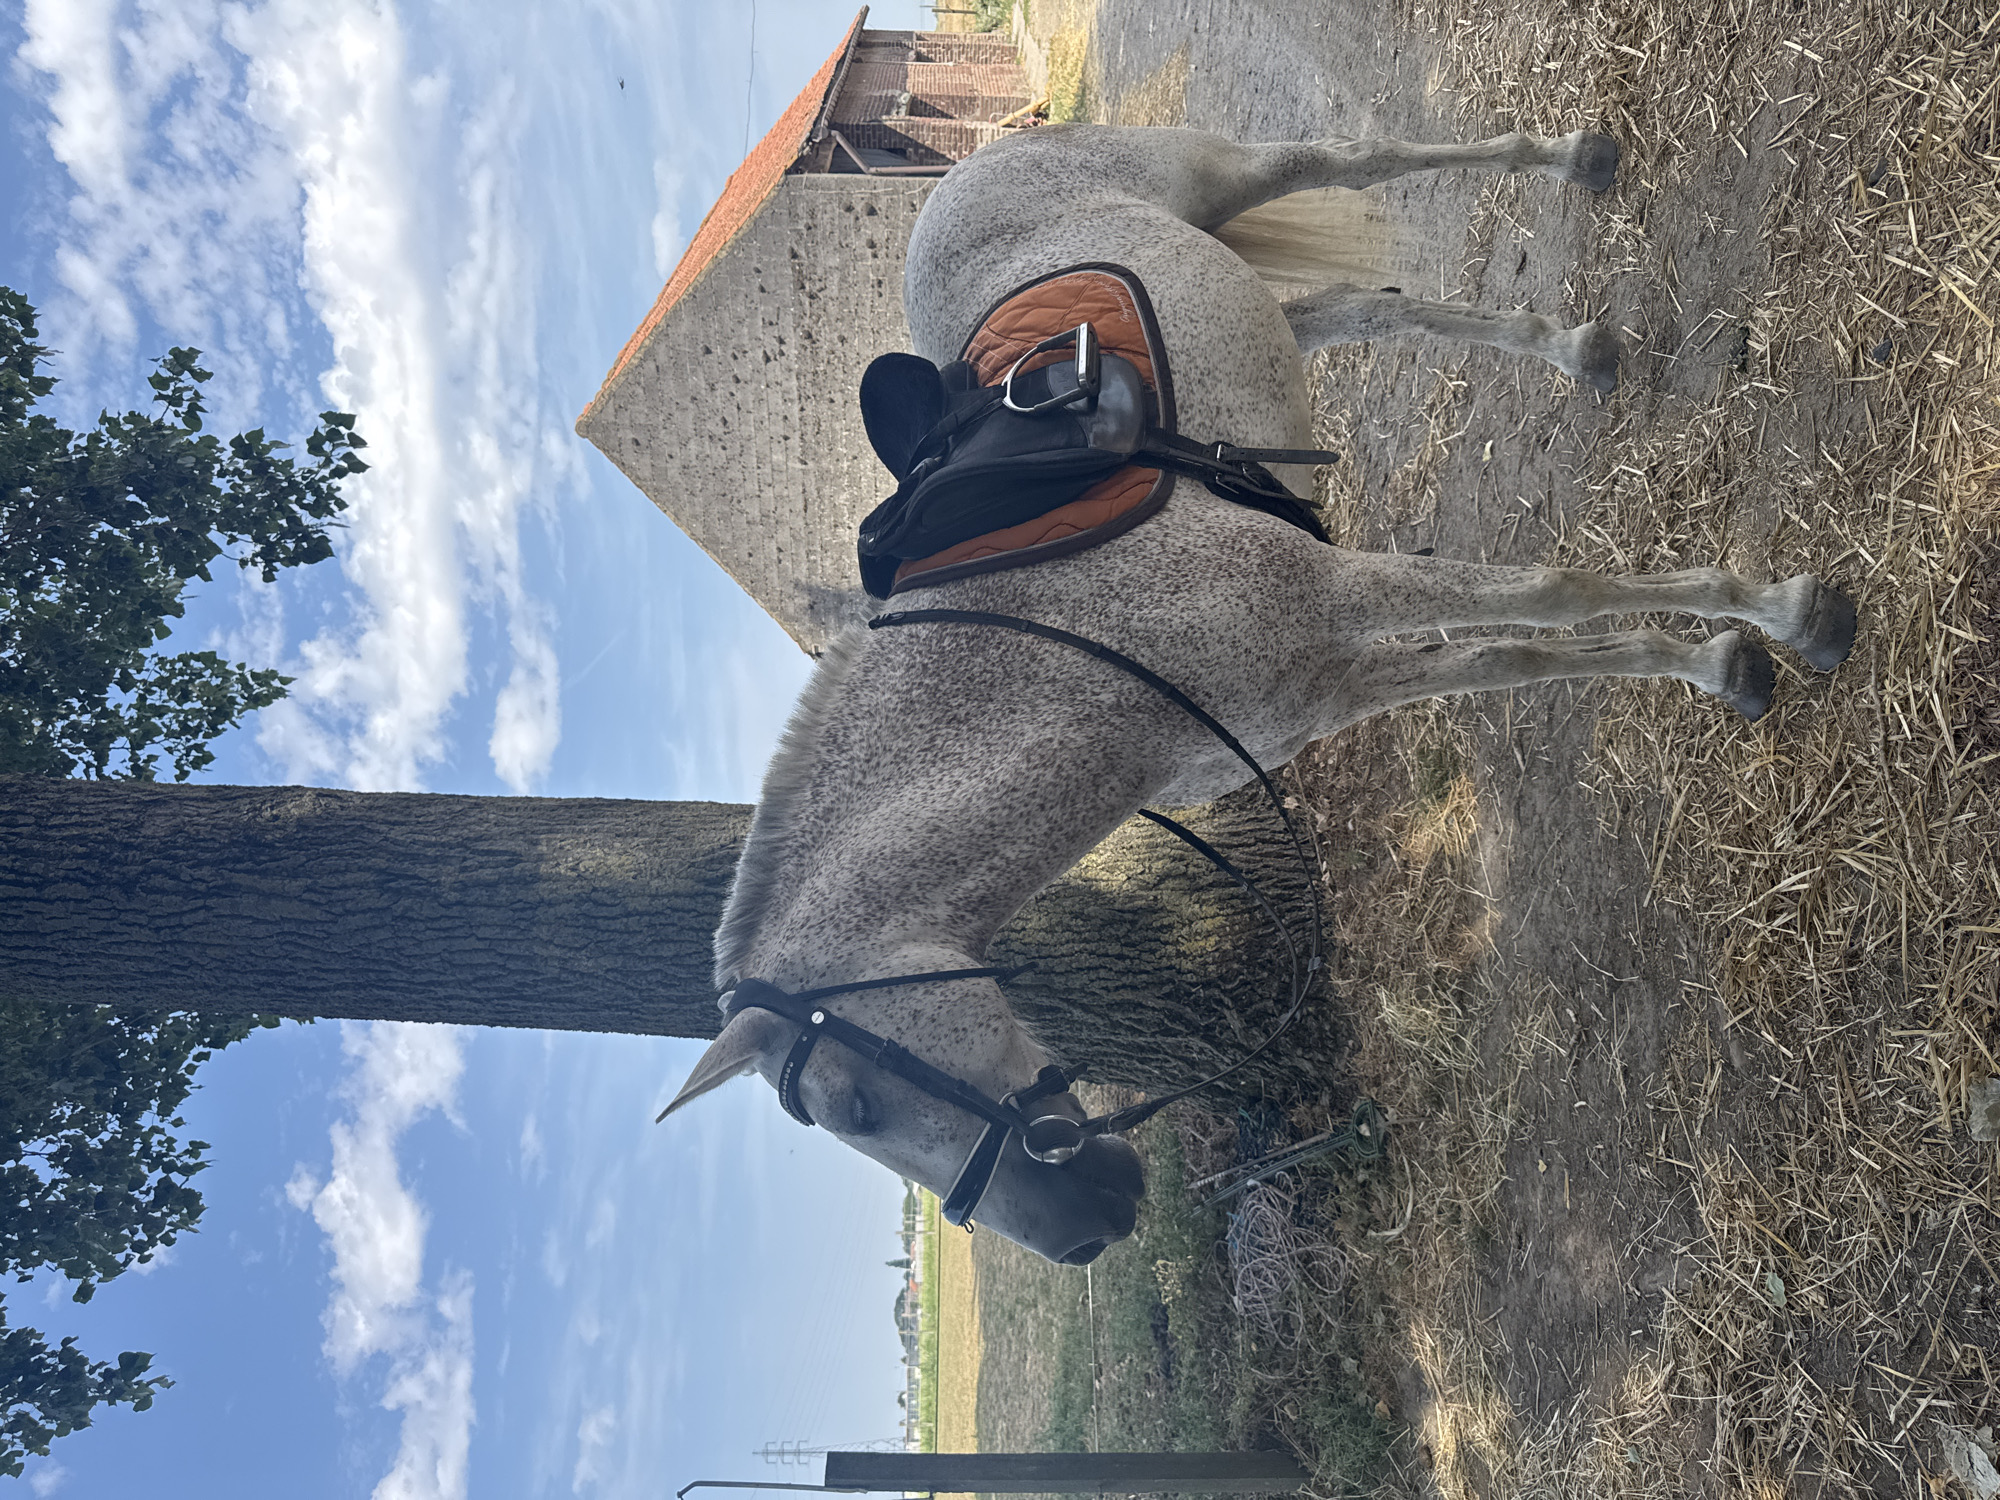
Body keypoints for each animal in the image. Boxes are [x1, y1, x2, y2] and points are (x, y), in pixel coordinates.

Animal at [658, 124, 1856, 1266]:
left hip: (1226, 173)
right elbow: (1511, 655)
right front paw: (1719, 656)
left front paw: (1771, 622)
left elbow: (1551, 595)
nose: (1085, 1235)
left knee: (1354, 162)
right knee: (1360, 309)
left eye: (857, 1102)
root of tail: (966, 169)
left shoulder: (1333, 599)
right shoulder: (1324, 675)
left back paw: (1579, 165)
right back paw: (1576, 349)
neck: (1074, 654)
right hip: (1260, 306)